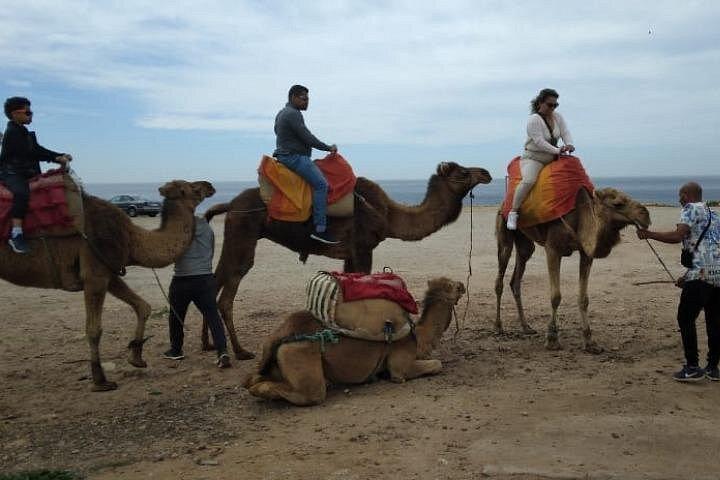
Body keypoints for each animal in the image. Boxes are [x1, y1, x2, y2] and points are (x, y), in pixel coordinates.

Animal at [0, 179, 215, 391]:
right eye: (192, 187)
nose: (210, 185)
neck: (130, 238)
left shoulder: (110, 273)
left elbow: (143, 306)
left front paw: (136, 357)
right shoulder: (95, 273)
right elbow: (94, 329)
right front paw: (100, 380)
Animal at [203, 162, 491, 360]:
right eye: (461, 172)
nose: (486, 173)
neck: (390, 215)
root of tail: (229, 204)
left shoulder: (350, 254)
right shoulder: (363, 247)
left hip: (235, 234)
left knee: (214, 281)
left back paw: (210, 346)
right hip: (243, 234)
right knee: (226, 290)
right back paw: (239, 351)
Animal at [244, 277, 466, 406]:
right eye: (454, 286)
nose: (463, 285)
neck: (418, 337)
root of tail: (281, 334)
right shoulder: (400, 367)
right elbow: (436, 364)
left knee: (253, 379)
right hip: (300, 354)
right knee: (310, 393)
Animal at [494, 187, 650, 353]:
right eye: (618, 204)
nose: (645, 215)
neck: (581, 218)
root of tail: (504, 203)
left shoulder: (586, 253)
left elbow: (583, 299)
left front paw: (590, 342)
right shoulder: (553, 249)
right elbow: (555, 296)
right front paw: (552, 340)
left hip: (524, 241)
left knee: (516, 277)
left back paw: (526, 327)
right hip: (504, 233)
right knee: (501, 276)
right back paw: (498, 327)